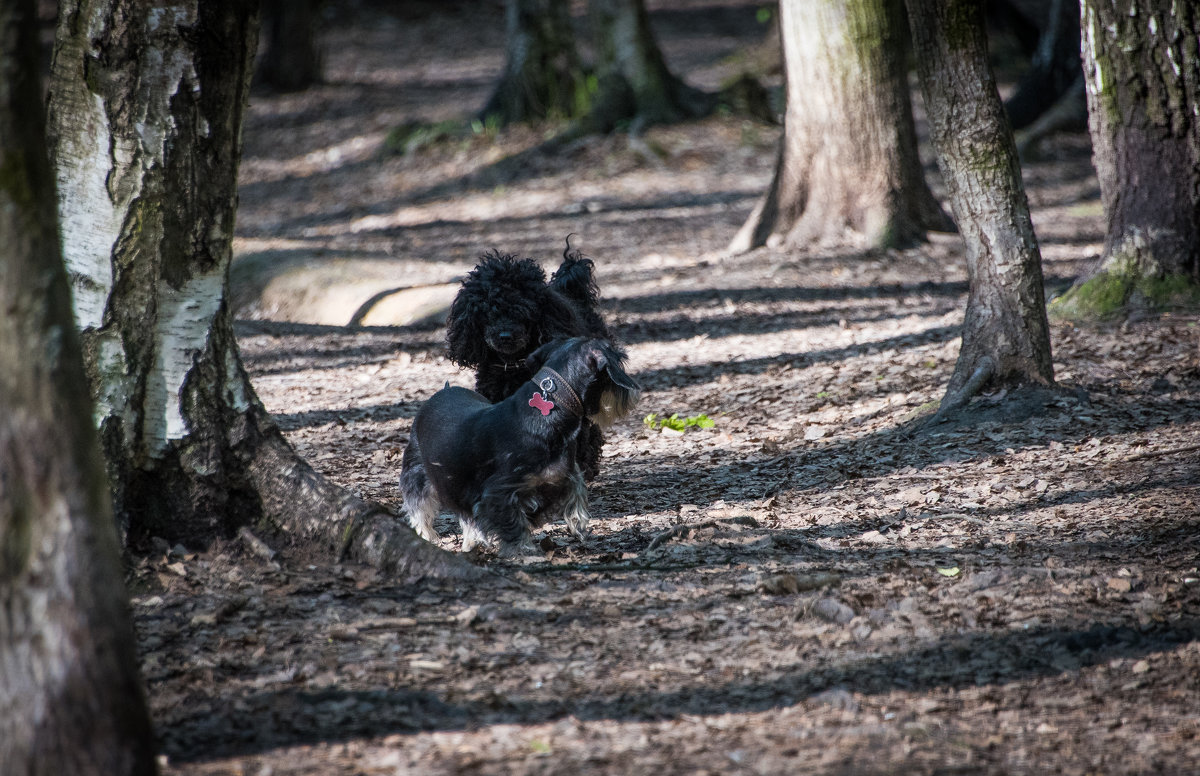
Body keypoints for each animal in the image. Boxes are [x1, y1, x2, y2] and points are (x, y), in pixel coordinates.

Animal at [400, 335, 638, 556]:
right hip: (418, 476)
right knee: (420, 512)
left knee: (466, 517)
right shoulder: (499, 493)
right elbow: (513, 525)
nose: (635, 390)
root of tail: (443, 390)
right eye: (621, 359)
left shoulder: (563, 476)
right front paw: (523, 552)